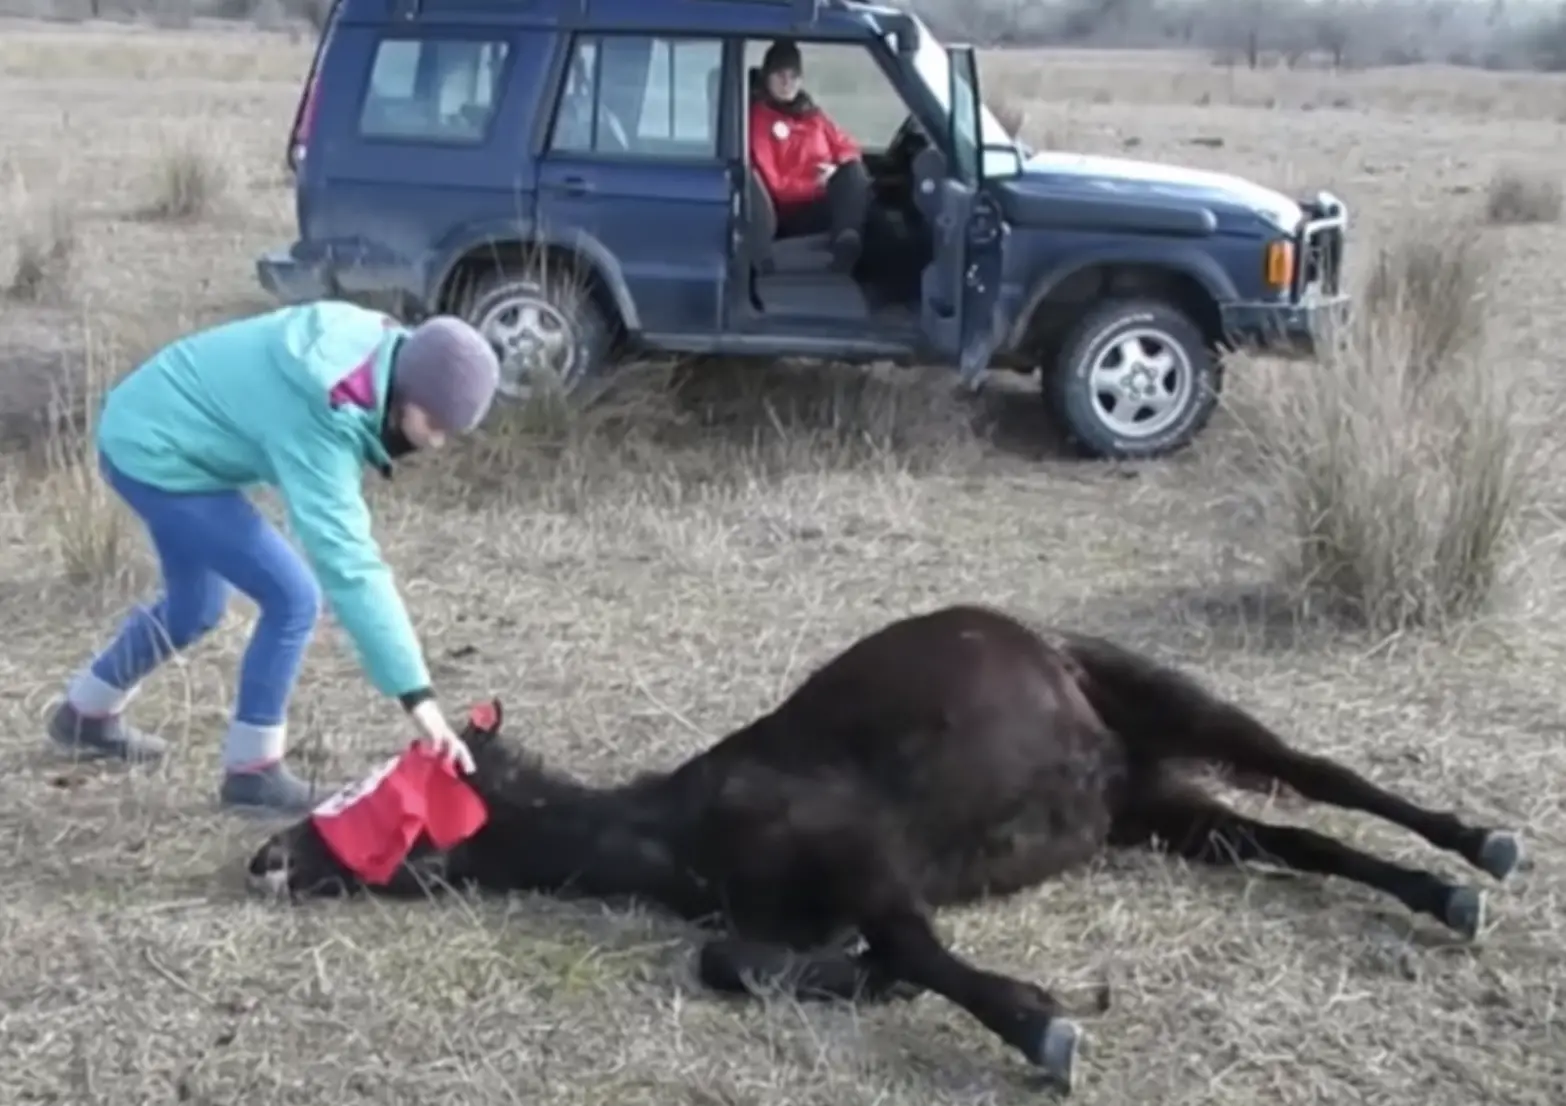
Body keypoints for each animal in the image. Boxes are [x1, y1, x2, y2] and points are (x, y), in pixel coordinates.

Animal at [246, 603, 1525, 1094]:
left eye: (396, 787)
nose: (268, 857)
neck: (681, 826)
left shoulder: (868, 857)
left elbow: (911, 947)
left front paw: (1043, 1024)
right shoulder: (781, 908)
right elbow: (739, 959)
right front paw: (848, 979)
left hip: (1176, 707)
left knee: (1320, 775)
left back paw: (1485, 847)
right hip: (1151, 804)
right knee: (1290, 834)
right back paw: (1440, 893)